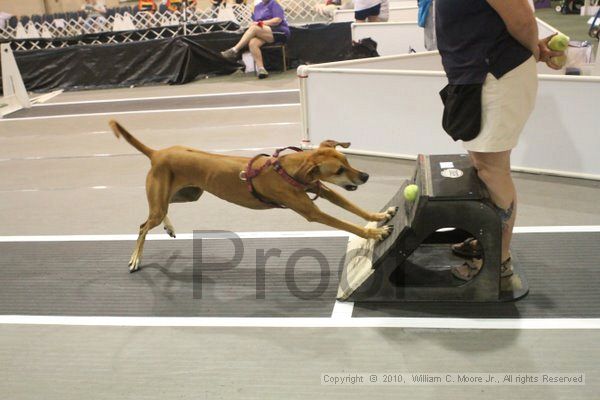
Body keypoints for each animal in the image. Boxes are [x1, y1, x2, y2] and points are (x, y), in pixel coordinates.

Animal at [110, 119, 396, 272]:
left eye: (347, 161)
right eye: (338, 170)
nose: (365, 176)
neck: (287, 169)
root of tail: (157, 153)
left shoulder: (322, 190)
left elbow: (355, 209)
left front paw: (380, 215)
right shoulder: (312, 211)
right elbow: (348, 224)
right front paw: (375, 233)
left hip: (187, 194)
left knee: (153, 216)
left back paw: (168, 227)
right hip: (163, 198)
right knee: (144, 225)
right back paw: (136, 258)